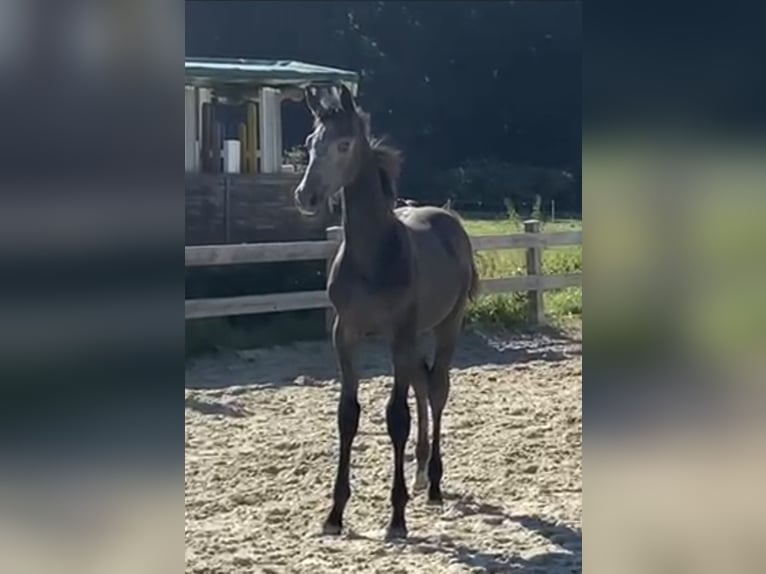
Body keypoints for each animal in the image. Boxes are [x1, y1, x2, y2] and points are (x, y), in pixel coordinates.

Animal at [293, 84, 479, 539]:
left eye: (343, 144)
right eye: (310, 142)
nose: (305, 196)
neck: (372, 256)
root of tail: (449, 219)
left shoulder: (399, 335)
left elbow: (397, 417)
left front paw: (396, 518)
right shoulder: (345, 334)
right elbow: (348, 415)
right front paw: (334, 513)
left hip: (445, 326)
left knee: (437, 389)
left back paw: (433, 483)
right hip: (414, 338)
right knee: (422, 385)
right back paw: (419, 474)